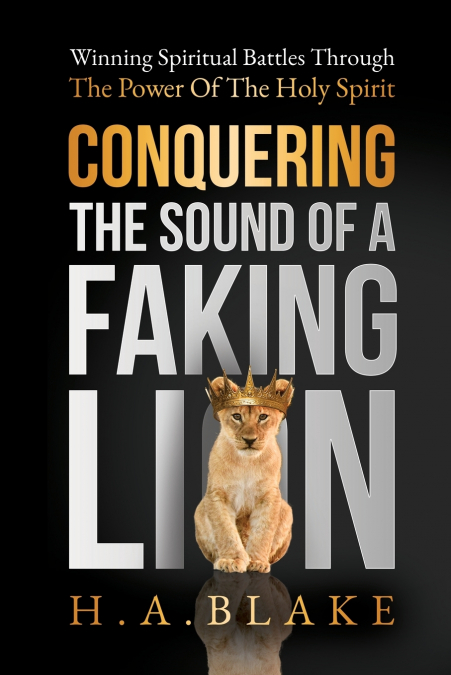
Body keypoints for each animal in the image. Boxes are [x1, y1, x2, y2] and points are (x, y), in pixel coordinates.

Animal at [195, 371, 294, 573]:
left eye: (263, 416)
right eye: (237, 416)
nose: (249, 440)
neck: (246, 463)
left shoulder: (269, 496)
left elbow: (263, 531)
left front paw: (256, 562)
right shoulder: (217, 495)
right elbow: (225, 531)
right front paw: (231, 560)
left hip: (287, 510)